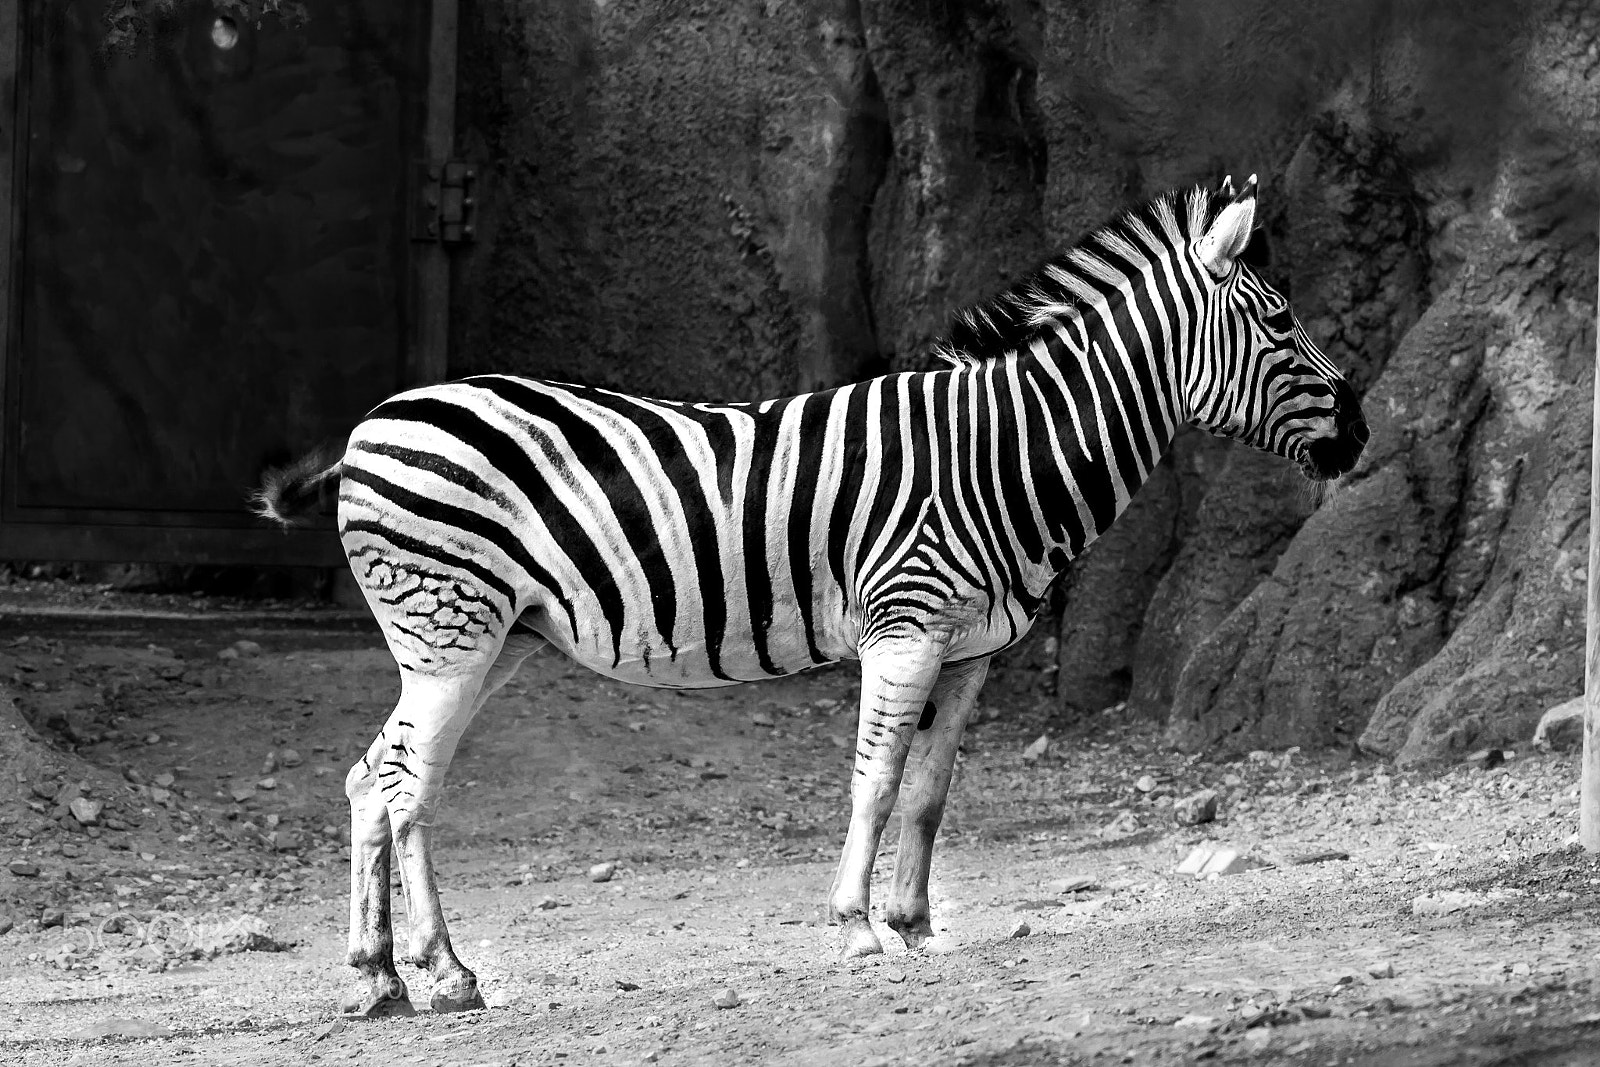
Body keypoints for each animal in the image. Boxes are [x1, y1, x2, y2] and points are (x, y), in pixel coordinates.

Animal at [256, 175, 1367, 1017]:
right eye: (1279, 322)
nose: (1361, 435)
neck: (1004, 453)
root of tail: (370, 424)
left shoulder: (973, 648)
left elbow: (929, 791)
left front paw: (917, 924)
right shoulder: (904, 625)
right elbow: (874, 782)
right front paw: (857, 927)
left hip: (489, 639)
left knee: (371, 777)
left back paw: (378, 979)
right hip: (449, 628)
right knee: (407, 786)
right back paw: (445, 973)